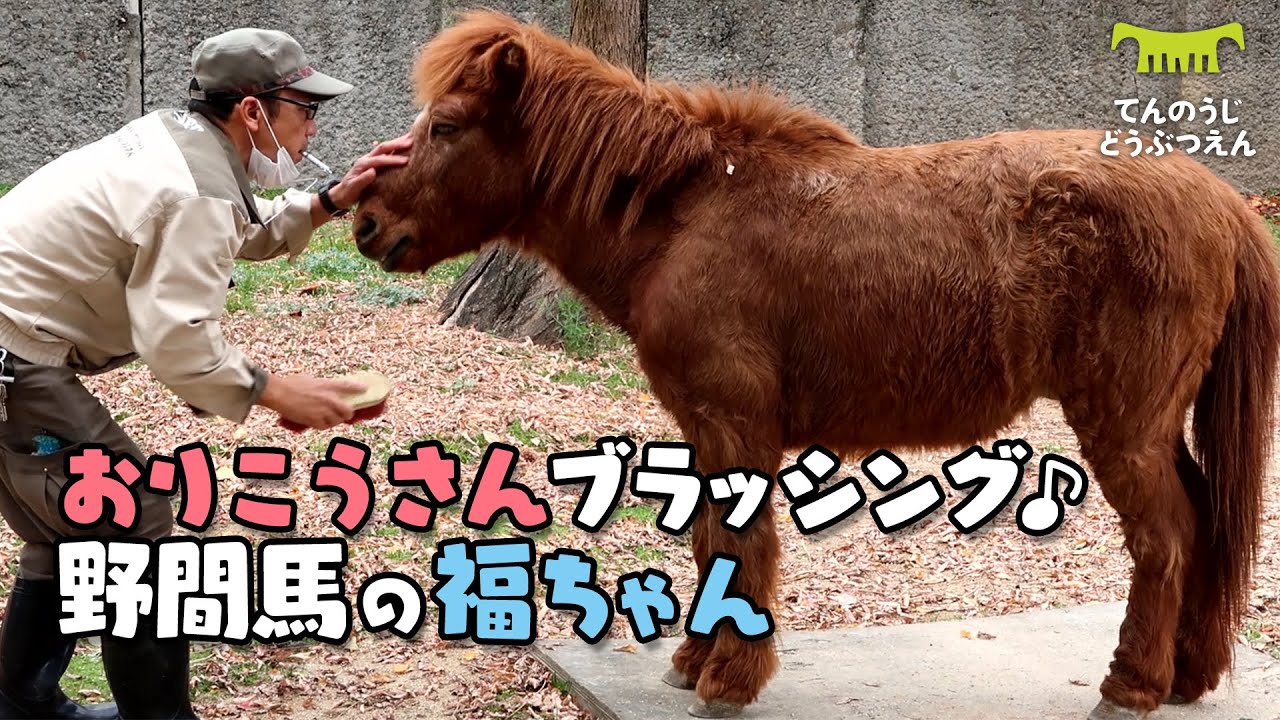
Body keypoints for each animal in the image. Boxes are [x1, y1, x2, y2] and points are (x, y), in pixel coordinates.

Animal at [351, 10, 1280, 719]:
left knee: (1166, 538)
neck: (685, 214)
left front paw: (729, 678)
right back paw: (1189, 675)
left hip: (1124, 422)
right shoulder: (705, 430)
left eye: (445, 127)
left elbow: (739, 546)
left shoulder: (735, 424)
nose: (362, 221)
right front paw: (695, 661)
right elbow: (709, 541)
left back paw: (1132, 684)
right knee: (1203, 525)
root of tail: (1221, 199)